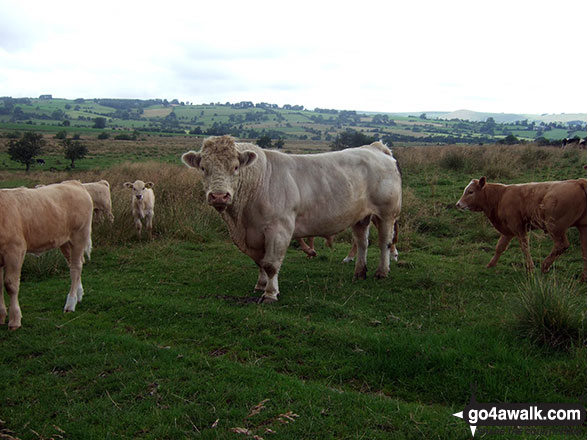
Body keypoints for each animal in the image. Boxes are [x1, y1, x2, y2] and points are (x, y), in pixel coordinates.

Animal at [0, 180, 93, 330]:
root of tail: (74, 183)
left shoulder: (15, 250)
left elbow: (10, 285)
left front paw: (15, 320)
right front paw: (1, 316)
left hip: (79, 235)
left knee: (76, 267)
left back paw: (70, 303)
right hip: (65, 241)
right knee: (76, 263)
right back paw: (79, 294)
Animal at [458, 177, 587, 280]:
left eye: (470, 191)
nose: (458, 204)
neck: (501, 196)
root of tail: (578, 181)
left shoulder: (518, 227)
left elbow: (524, 247)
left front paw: (531, 269)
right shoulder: (508, 230)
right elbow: (500, 247)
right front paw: (491, 264)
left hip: (555, 227)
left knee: (562, 245)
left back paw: (544, 266)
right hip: (583, 227)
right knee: (584, 250)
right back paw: (583, 278)